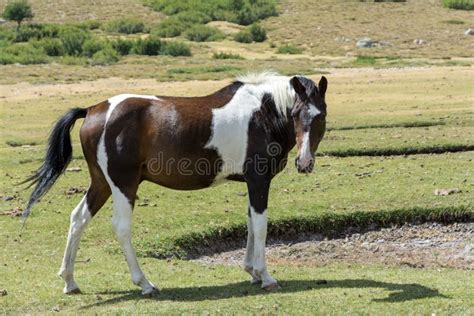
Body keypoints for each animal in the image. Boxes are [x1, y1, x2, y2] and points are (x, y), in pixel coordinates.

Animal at [24, 71, 328, 294]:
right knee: (121, 227)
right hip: (123, 186)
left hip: (101, 184)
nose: (304, 162)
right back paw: (144, 283)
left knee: (78, 219)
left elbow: (251, 224)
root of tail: (92, 110)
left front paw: (252, 271)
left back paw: (69, 281)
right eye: (296, 114)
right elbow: (261, 227)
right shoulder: (258, 180)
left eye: (320, 115)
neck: (262, 113)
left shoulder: (252, 184)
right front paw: (264, 276)